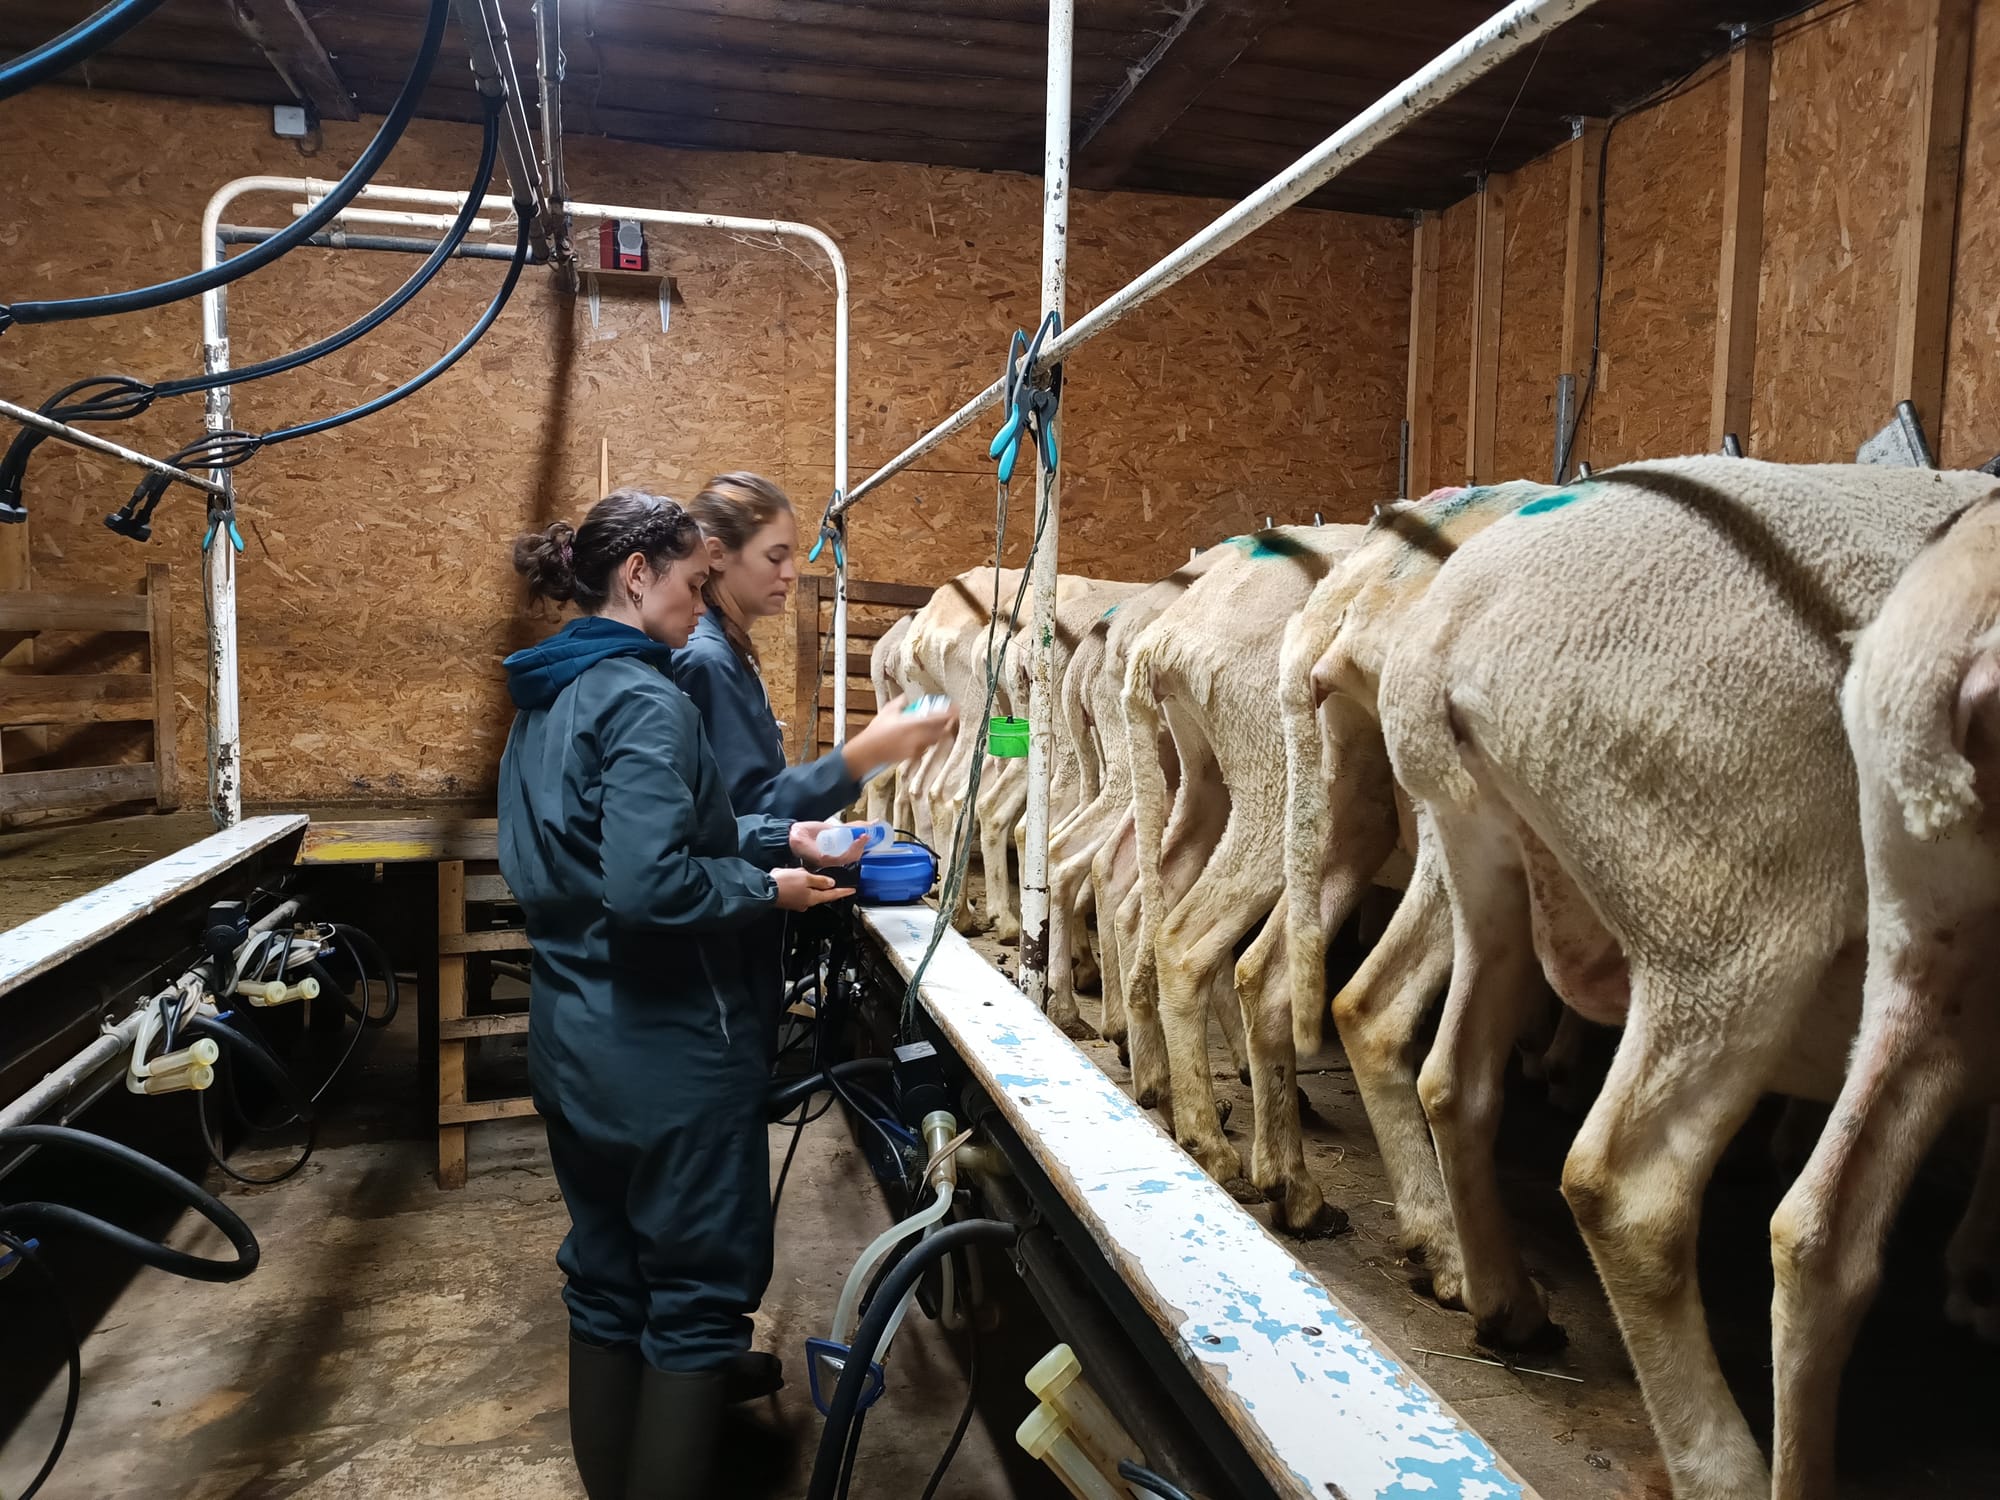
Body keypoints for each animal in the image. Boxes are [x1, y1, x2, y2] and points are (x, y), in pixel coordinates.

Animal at [1120, 528, 1368, 1200]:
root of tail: (1162, 639)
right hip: (1289, 785)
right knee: (1195, 943)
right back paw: (1241, 1156)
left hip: (1202, 775)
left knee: (1138, 901)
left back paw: (1162, 1085)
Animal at [1376, 458, 2000, 1500]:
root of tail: (1452, 627)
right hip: (1728, 912)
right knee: (1631, 1188)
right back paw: (1726, 1464)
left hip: (1485, 863)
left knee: (1445, 1070)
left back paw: (1500, 1297)